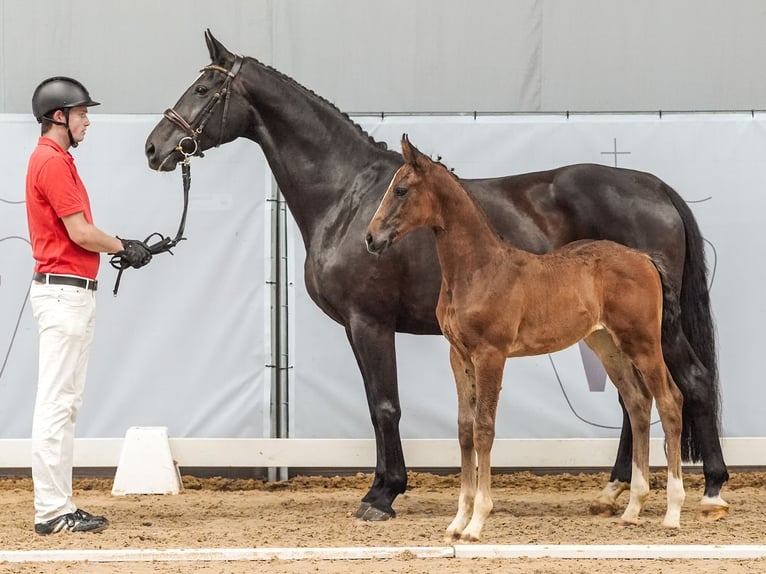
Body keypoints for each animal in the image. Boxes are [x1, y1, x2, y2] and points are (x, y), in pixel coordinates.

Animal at [368, 136, 688, 544]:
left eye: (402, 189)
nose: (371, 238)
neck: (478, 270)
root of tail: (645, 258)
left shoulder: (491, 354)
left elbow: (484, 428)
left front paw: (477, 522)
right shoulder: (459, 356)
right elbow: (464, 429)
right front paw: (457, 521)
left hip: (643, 342)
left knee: (669, 400)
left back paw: (673, 513)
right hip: (608, 346)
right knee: (637, 403)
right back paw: (632, 509)